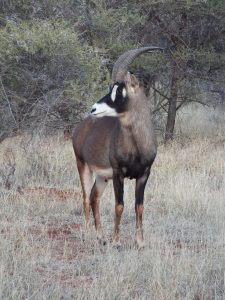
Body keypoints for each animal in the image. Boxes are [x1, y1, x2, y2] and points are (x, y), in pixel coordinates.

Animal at [73, 46, 163, 248]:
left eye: (121, 90)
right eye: (111, 88)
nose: (93, 109)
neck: (137, 146)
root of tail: (81, 127)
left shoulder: (144, 174)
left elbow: (139, 206)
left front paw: (140, 242)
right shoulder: (118, 173)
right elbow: (119, 205)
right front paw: (116, 241)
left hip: (102, 177)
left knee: (94, 198)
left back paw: (100, 237)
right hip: (83, 166)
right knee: (85, 198)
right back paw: (87, 236)